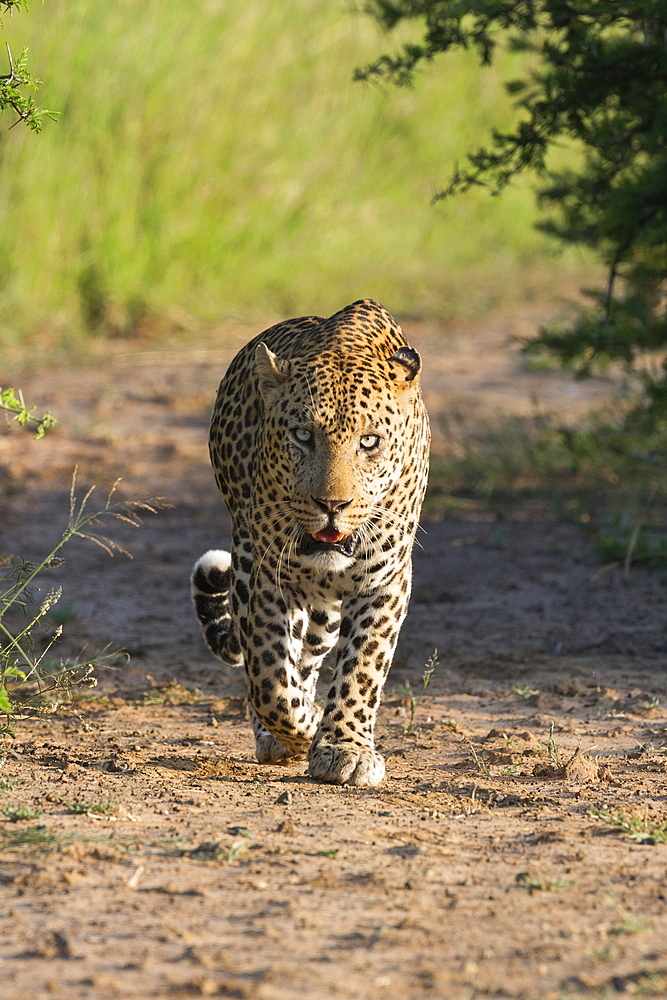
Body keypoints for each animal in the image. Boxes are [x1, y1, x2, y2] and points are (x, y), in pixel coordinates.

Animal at [192, 300, 434, 784]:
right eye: (303, 435)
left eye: (369, 442)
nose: (332, 504)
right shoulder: (265, 576)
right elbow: (268, 675)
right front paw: (304, 729)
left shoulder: (386, 581)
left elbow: (362, 667)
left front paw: (344, 747)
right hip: (254, 567)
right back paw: (282, 734)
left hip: (322, 612)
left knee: (309, 657)